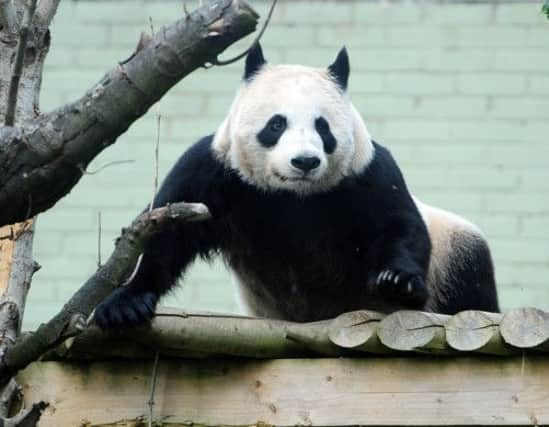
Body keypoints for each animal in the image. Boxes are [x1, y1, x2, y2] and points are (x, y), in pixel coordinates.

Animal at [93, 43, 496, 330]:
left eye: (323, 127)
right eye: (276, 124)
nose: (304, 161)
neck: (294, 195)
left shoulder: (366, 175)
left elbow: (400, 226)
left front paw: (396, 280)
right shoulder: (218, 171)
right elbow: (169, 228)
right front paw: (126, 303)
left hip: (453, 250)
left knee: (470, 282)